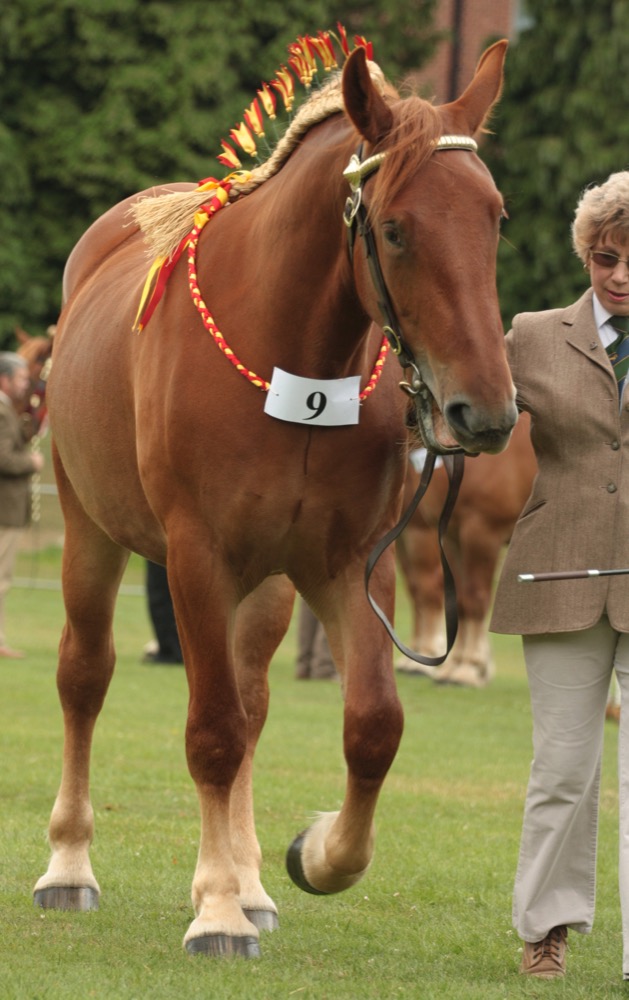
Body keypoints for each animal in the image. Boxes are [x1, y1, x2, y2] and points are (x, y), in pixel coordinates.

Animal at [35, 43, 516, 956]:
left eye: (494, 219)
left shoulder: (343, 564)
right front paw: (217, 910)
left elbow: (371, 726)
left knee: (254, 700)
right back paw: (70, 867)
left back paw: (251, 878)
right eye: (394, 229)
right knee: (85, 677)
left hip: (265, 585)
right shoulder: (195, 558)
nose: (486, 411)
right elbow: (212, 733)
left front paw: (313, 855)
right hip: (89, 531)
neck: (291, 357)